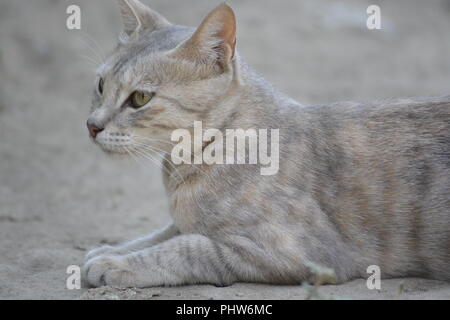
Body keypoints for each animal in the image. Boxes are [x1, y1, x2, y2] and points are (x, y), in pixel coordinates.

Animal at [81, 0, 450, 288]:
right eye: (100, 85)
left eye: (140, 98)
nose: (92, 125)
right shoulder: (182, 222)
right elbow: (162, 234)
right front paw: (112, 250)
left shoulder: (297, 253)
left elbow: (187, 247)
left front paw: (117, 264)